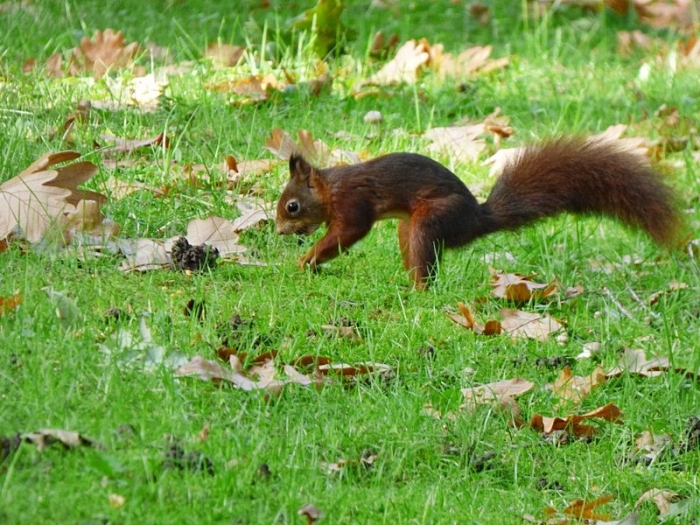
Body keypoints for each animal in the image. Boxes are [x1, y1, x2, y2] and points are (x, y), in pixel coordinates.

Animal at [275, 137, 681, 289]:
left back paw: (417, 289)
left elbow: (350, 232)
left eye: (292, 206)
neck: (330, 189)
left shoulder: (353, 204)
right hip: (409, 229)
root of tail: (476, 220)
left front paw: (306, 260)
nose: (279, 231)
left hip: (432, 219)